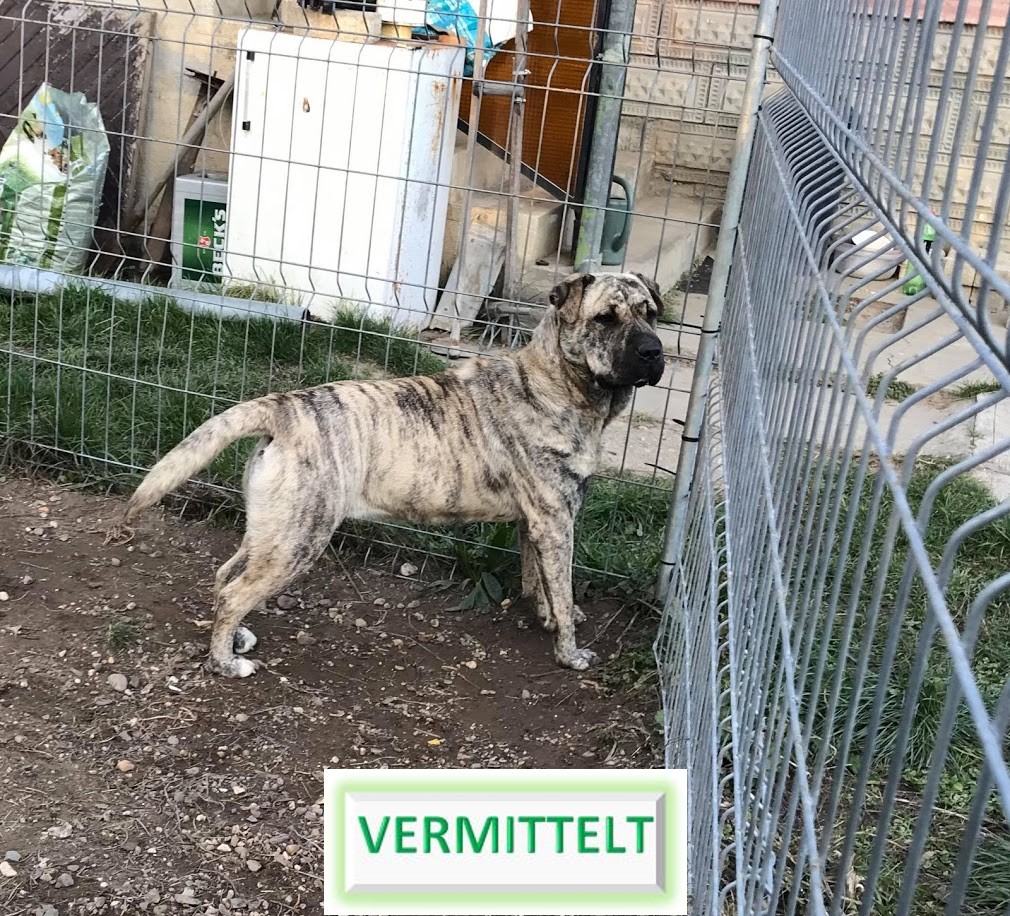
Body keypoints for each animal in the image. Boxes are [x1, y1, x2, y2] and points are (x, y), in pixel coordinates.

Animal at [107, 272, 666, 677]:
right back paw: (226, 662)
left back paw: (239, 637)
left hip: (272, 528)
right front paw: (570, 651)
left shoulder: (538, 523)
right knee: (233, 592)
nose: (654, 352)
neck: (556, 382)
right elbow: (563, 588)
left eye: (650, 313)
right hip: (300, 538)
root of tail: (282, 406)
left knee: (226, 575)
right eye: (605, 318)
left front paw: (549, 617)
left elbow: (543, 582)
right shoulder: (555, 520)